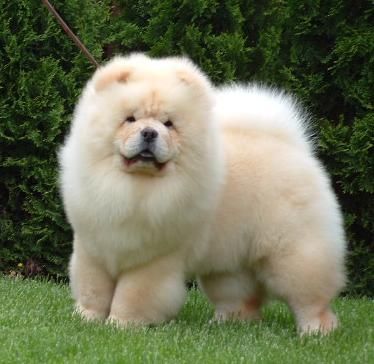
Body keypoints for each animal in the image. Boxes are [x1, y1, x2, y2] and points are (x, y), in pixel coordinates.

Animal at [60, 54, 346, 336]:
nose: (149, 132)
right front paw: (86, 318)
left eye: (168, 124)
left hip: (293, 253)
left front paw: (121, 324)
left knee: (309, 295)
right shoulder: (93, 249)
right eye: (130, 119)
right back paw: (230, 321)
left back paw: (316, 330)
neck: (134, 188)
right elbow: (92, 289)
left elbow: (133, 295)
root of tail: (291, 147)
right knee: (240, 294)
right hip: (230, 260)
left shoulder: (153, 260)